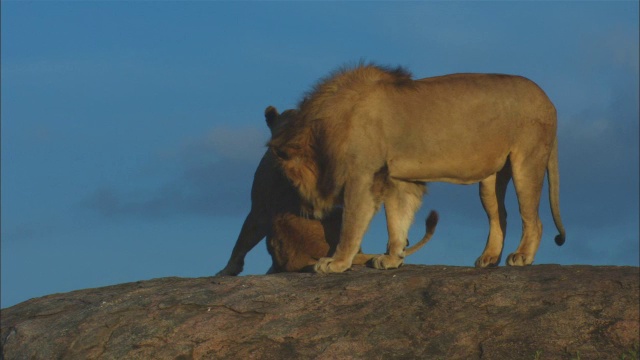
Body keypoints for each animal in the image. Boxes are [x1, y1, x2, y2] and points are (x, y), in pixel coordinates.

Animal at [268, 64, 568, 272]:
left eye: (288, 180)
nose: (305, 212)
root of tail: (549, 101)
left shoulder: (363, 176)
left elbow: (351, 224)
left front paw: (336, 262)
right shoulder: (397, 179)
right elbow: (397, 220)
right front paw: (392, 258)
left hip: (527, 161)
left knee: (534, 219)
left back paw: (522, 256)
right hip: (491, 180)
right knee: (500, 216)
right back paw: (489, 257)